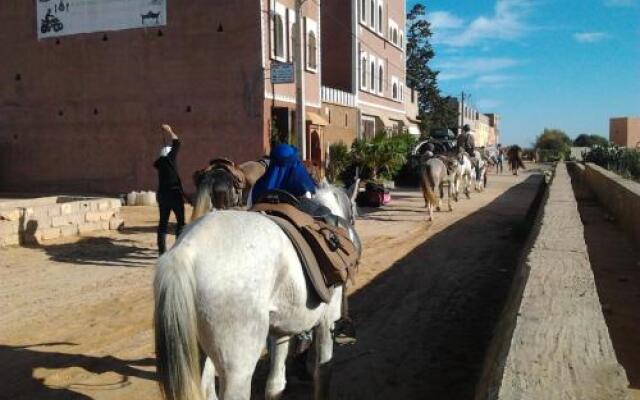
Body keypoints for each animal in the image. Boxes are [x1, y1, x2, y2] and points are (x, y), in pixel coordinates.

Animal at [152, 182, 358, 400]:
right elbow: (323, 371)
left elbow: (275, 384)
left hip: (199, 353)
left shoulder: (281, 330)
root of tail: (186, 251)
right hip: (238, 369)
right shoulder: (328, 321)